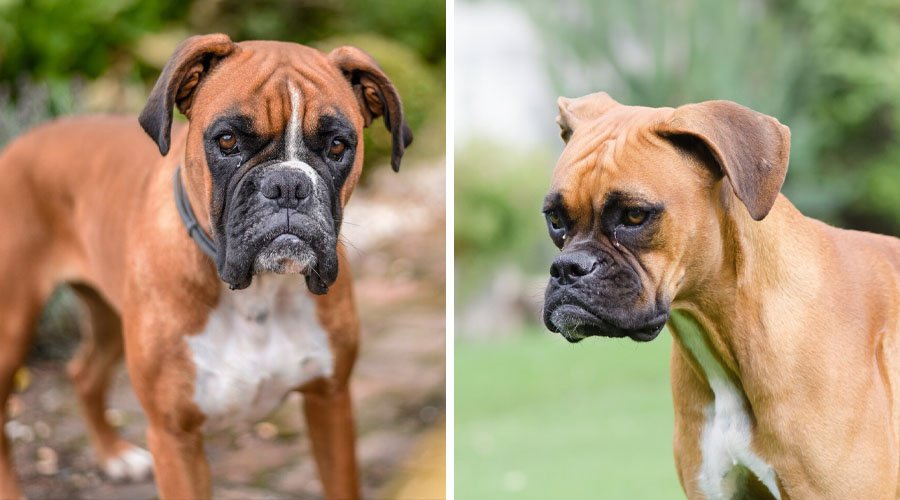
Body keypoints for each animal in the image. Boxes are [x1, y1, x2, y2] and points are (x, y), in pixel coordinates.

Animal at [0, 33, 414, 498]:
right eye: (228, 140)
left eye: (338, 145)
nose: (288, 184)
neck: (258, 293)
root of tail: (25, 140)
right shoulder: (174, 436)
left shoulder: (330, 401)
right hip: (13, 324)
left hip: (108, 316)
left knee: (83, 373)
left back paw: (114, 455)